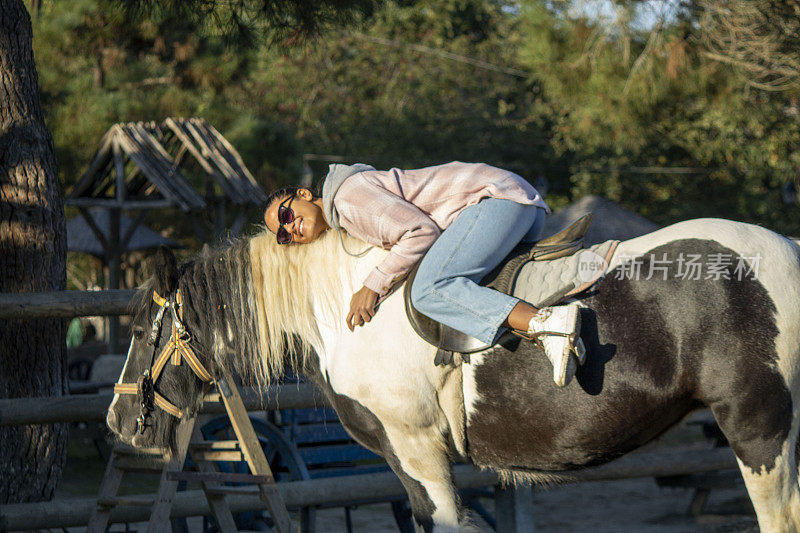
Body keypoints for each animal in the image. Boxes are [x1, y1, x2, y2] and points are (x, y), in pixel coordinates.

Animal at [106, 218, 800, 528]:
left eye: (140, 331)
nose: (120, 421)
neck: (344, 307)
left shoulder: (419, 452)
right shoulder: (405, 465)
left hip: (760, 433)